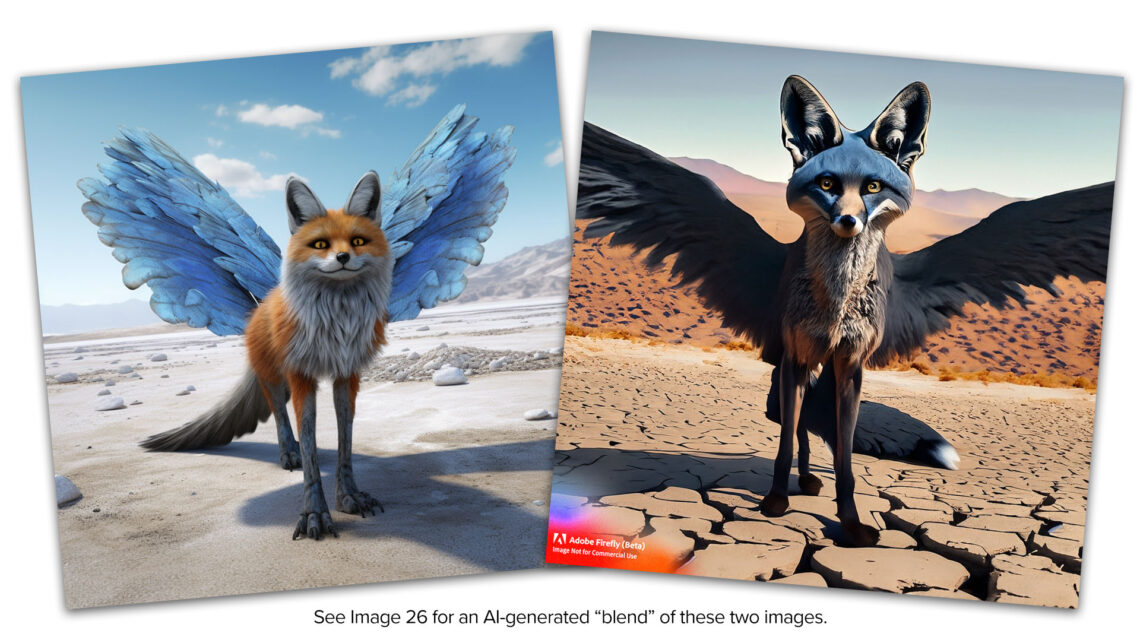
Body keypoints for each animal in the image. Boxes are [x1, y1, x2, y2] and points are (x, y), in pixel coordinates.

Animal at [141, 171, 392, 541]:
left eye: (358, 241)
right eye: (321, 245)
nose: (343, 257)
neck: (338, 321)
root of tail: (262, 303)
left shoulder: (347, 374)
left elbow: (345, 443)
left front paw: (349, 497)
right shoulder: (301, 376)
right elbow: (309, 445)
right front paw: (315, 513)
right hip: (274, 376)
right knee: (278, 411)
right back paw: (288, 453)